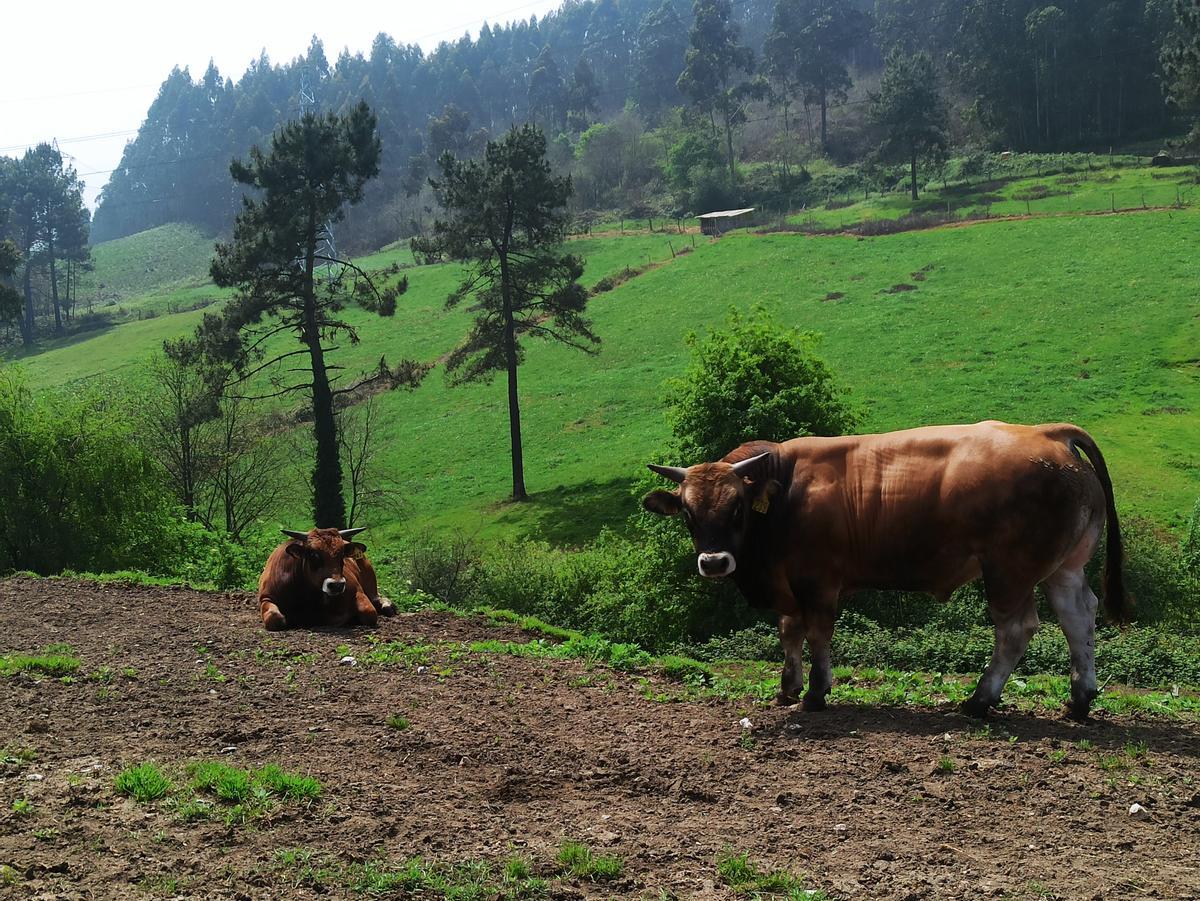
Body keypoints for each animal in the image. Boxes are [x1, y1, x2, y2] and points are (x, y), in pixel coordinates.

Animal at [259, 525, 398, 628]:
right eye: (313, 554)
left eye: (342, 554)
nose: (337, 585)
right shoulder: (266, 597)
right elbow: (275, 618)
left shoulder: (357, 591)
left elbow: (369, 613)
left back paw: (387, 605)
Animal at [648, 424, 1123, 724]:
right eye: (688, 513)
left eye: (736, 508)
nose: (713, 562)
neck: (786, 490)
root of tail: (1048, 432)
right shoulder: (788, 582)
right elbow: (789, 632)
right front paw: (787, 687)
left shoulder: (817, 580)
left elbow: (817, 633)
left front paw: (816, 693)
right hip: (1065, 568)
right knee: (1078, 618)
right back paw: (1079, 700)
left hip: (1009, 571)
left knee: (1016, 630)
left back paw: (979, 700)